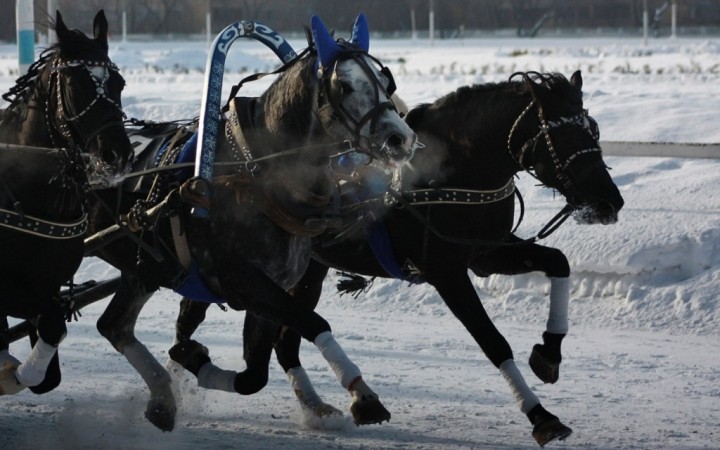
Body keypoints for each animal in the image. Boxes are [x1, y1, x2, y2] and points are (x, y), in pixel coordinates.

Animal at [0, 11, 134, 394]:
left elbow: (51, 335)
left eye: (118, 82)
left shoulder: (48, 284)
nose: (117, 155)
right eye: (75, 85)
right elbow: (47, 325)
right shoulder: (10, 288)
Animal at [87, 14, 420, 432]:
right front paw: (363, 394)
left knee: (114, 325)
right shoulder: (244, 280)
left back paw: (162, 397)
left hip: (143, 269)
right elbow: (312, 322)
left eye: (385, 81)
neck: (256, 172)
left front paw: (194, 359)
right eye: (344, 85)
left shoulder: (268, 287)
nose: (400, 138)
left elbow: (254, 375)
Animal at [173, 70, 624, 446]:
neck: (447, 171)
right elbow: (492, 341)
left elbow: (559, 261)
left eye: (594, 129)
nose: (610, 201)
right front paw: (540, 415)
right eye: (562, 136)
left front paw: (549, 352)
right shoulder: (446, 271)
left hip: (308, 270)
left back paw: (316, 408)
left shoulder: (487, 252)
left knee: (285, 342)